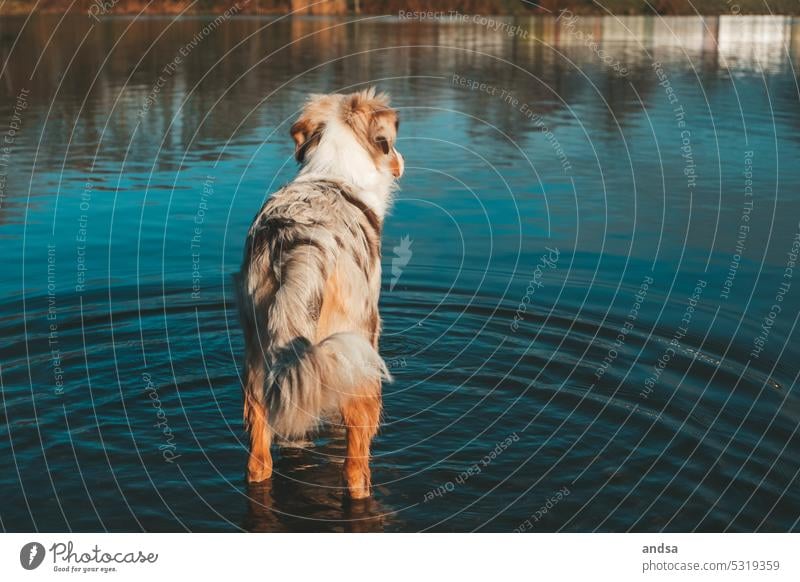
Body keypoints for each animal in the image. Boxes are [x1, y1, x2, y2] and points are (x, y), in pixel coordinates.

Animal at [236, 89, 400, 500]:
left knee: (258, 461)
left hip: (261, 365)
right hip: (358, 355)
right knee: (354, 467)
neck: (334, 168)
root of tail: (301, 242)